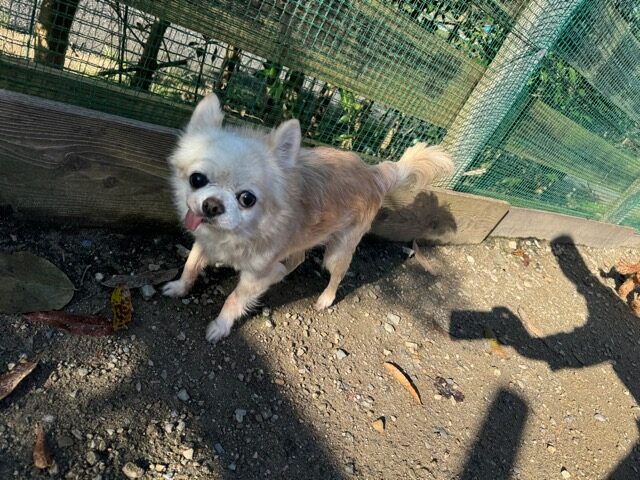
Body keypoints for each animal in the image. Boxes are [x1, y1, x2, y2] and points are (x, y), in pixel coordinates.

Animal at [163, 93, 453, 342]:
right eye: (197, 179)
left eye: (247, 198)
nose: (212, 205)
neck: (236, 233)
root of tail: (373, 172)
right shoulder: (204, 242)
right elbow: (191, 265)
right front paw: (179, 287)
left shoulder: (254, 276)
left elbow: (234, 298)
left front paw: (220, 326)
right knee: (297, 259)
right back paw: (282, 273)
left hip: (337, 251)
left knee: (337, 273)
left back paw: (325, 298)